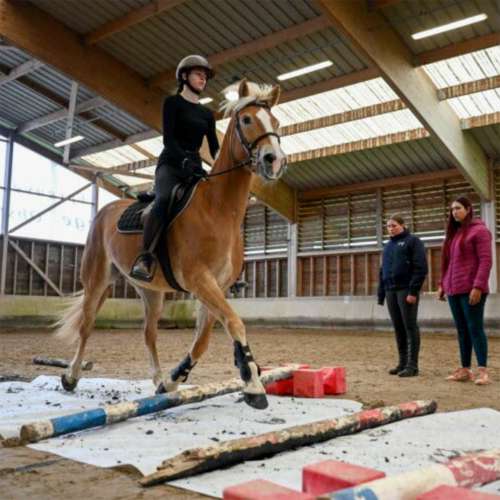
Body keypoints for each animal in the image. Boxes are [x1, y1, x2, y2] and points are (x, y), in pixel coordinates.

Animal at [55, 80, 288, 410]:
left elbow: (203, 341)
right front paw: (254, 385)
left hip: (150, 291)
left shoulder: (215, 286)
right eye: (246, 120)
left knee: (149, 333)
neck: (219, 209)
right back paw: (71, 376)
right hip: (97, 279)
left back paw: (156, 378)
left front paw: (172, 380)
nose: (274, 160)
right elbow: (234, 322)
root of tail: (107, 209)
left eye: (276, 123)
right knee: (87, 325)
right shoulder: (199, 280)